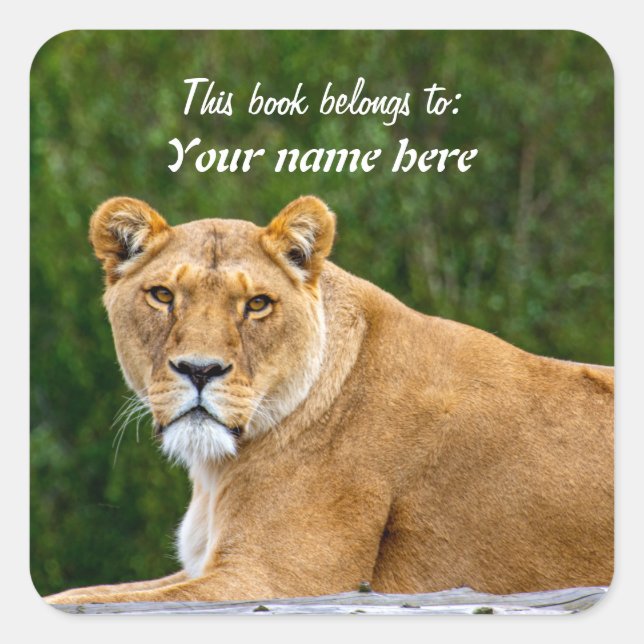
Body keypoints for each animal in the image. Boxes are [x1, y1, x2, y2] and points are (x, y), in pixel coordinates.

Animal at [46, 195, 613, 605]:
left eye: (257, 304)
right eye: (163, 295)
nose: (200, 370)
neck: (218, 469)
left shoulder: (275, 581)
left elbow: (83, 600)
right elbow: (81, 592)